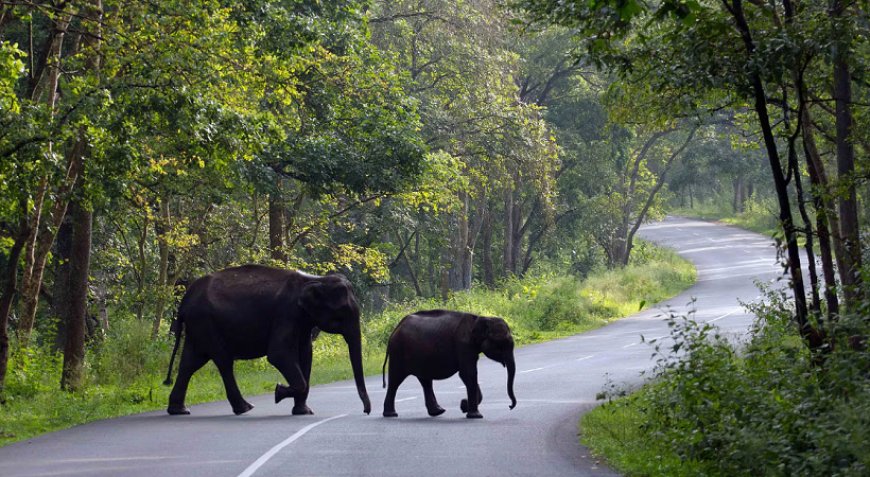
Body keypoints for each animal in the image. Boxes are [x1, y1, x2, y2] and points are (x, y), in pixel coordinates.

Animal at [164, 266, 372, 414]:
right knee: (222, 361)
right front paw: (278, 392)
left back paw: (179, 410)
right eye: (340, 315)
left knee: (190, 362)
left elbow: (306, 354)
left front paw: (303, 411)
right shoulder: (286, 313)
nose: (366, 411)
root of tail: (183, 302)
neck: (314, 279)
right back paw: (245, 408)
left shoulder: (302, 320)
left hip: (198, 328)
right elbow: (278, 354)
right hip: (206, 323)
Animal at [384, 308, 516, 416]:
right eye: (502, 344)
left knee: (425, 381)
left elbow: (468, 374)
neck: (480, 318)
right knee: (395, 380)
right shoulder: (463, 345)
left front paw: (464, 406)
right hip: (398, 353)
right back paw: (391, 414)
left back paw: (438, 411)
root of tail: (395, 330)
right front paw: (473, 413)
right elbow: (468, 373)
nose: (510, 406)